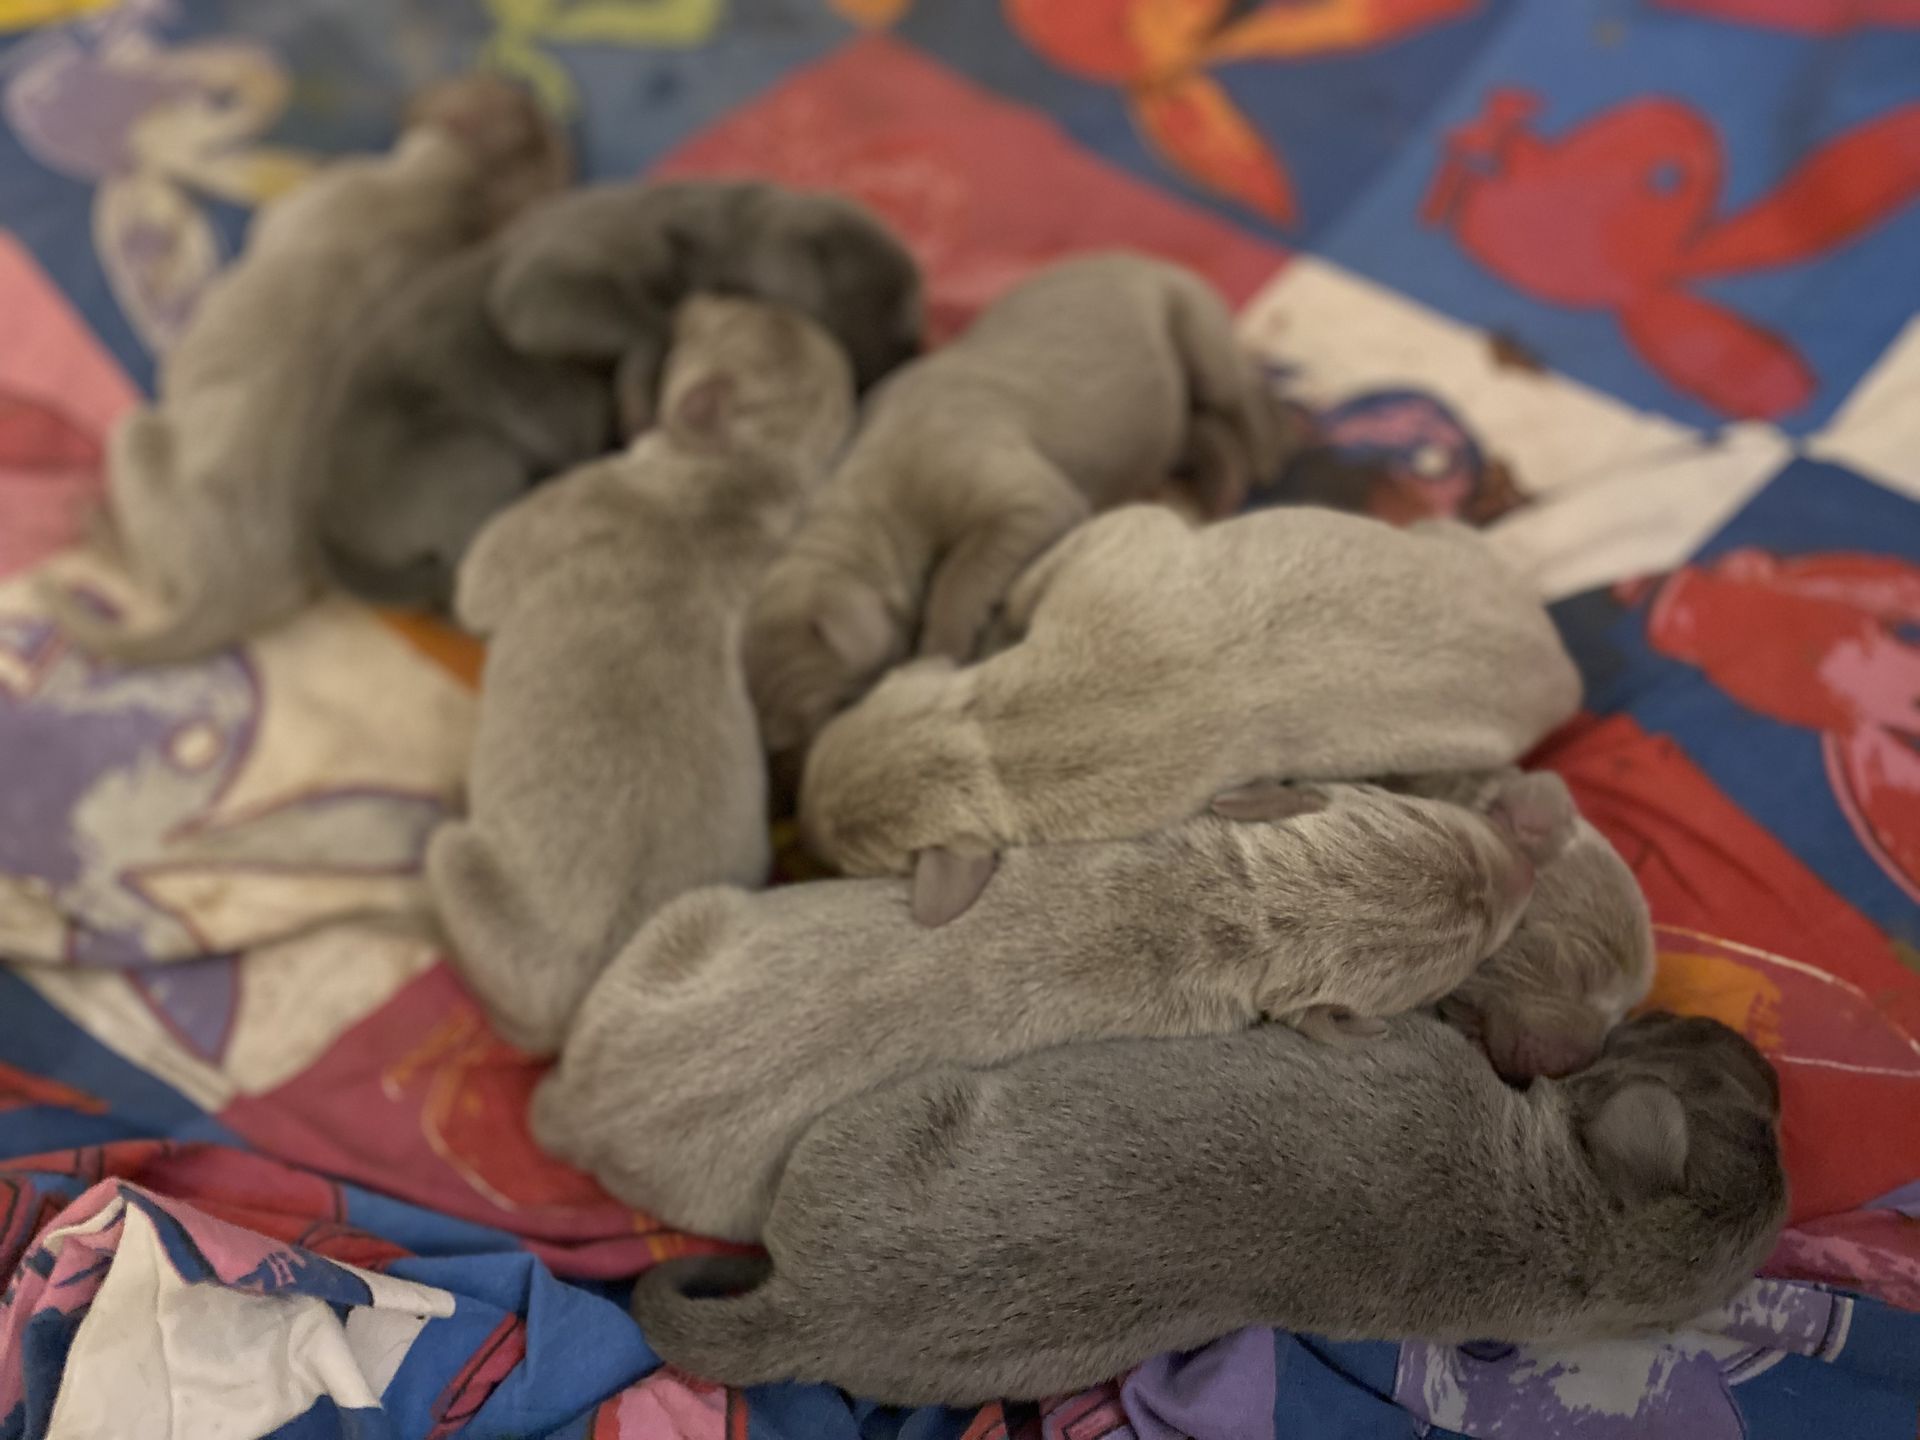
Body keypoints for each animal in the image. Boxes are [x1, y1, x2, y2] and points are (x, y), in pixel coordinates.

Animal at [40, 74, 570, 663]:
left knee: (151, 569)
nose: (522, 82)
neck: (455, 199)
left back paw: (96, 526)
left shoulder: (333, 193)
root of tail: (228, 590)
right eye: (522, 101)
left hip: (136, 439)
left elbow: (279, 213)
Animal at [317, 179, 922, 609]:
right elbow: (645, 320)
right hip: (474, 458)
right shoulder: (541, 286)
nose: (914, 354)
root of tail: (334, 537)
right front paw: (636, 397)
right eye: (893, 312)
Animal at [426, 296, 855, 1056]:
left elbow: (477, 586)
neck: (741, 475)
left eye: (716, 320)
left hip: (468, 878)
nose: (692, 301)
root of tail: (592, 999)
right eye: (750, 304)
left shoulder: (562, 509)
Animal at [532, 775, 1568, 1242]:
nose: (1524, 868)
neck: (1231, 911)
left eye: (1429, 817)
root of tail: (576, 1111)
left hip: (679, 930)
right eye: (1475, 940)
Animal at [743, 252, 1292, 770]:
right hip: (1169, 416)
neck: (871, 503)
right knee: (1203, 433)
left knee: (1241, 392)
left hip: (1191, 322)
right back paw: (1218, 489)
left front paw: (942, 648)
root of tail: (1148, 257)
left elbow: (961, 577)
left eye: (832, 710)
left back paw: (1265, 454)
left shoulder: (1019, 494)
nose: (788, 789)